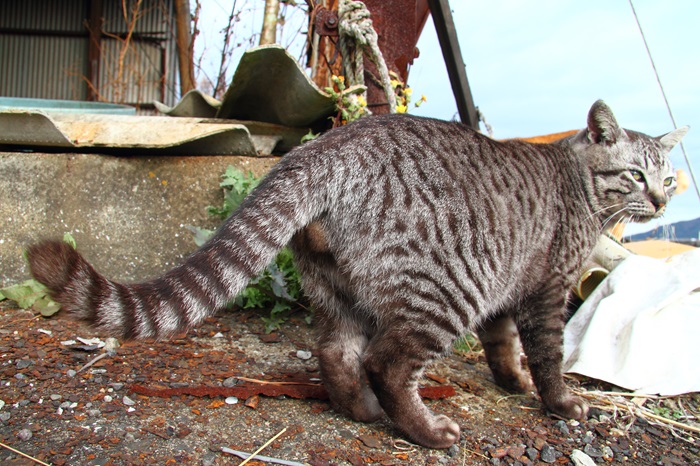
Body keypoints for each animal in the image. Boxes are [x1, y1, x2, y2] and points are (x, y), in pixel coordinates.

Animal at [28, 101, 688, 448]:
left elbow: (503, 347)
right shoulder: (545, 292)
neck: (578, 184)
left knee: (337, 353)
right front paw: (560, 401)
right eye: (636, 175)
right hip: (445, 291)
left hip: (341, 291)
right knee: (388, 362)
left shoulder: (509, 293)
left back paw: (361, 411)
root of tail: (334, 143)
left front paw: (511, 381)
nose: (661, 200)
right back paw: (425, 430)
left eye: (669, 177)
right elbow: (549, 355)